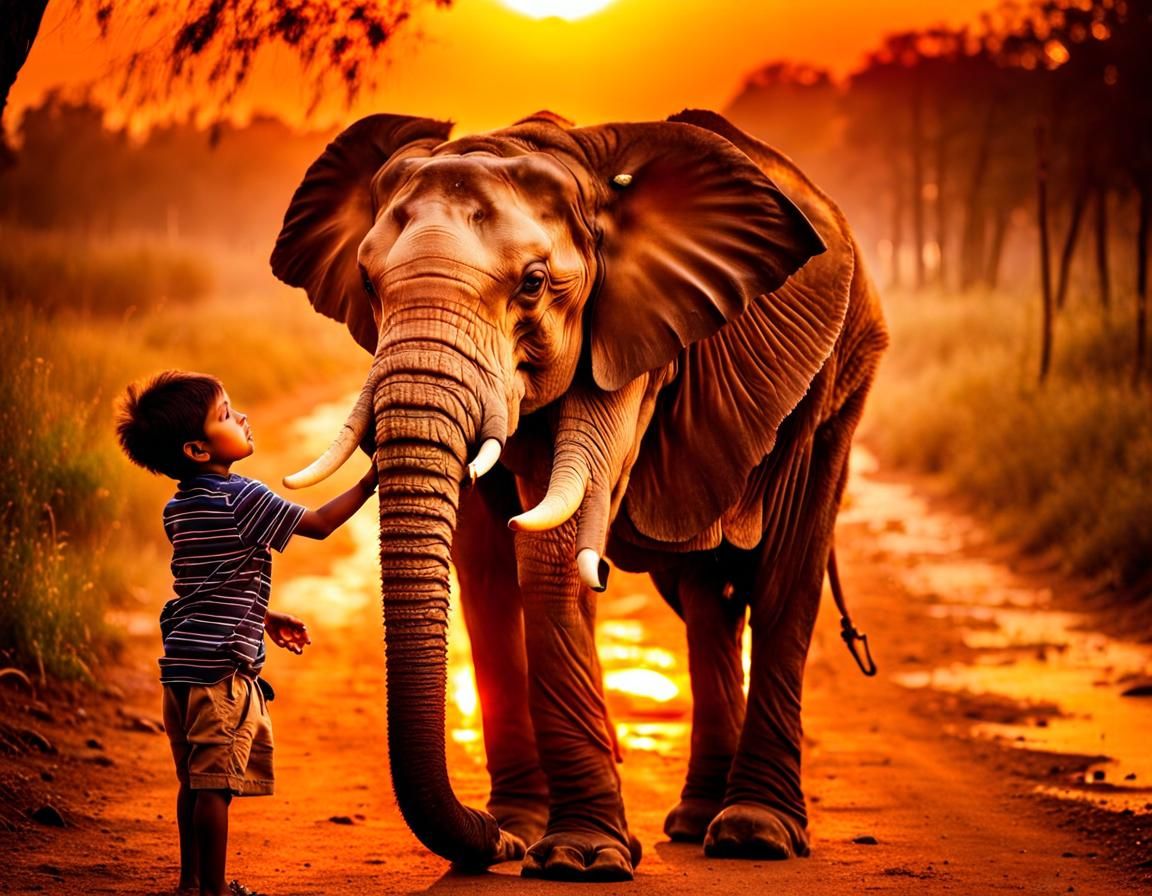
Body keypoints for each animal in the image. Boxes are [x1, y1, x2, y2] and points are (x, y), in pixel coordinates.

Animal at [270, 108, 887, 882]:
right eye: (367, 281)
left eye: (534, 284)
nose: (490, 842)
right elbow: (487, 564)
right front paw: (522, 831)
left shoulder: (623, 333)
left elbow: (550, 543)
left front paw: (576, 860)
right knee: (706, 596)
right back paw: (692, 822)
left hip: (843, 374)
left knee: (787, 570)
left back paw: (754, 833)